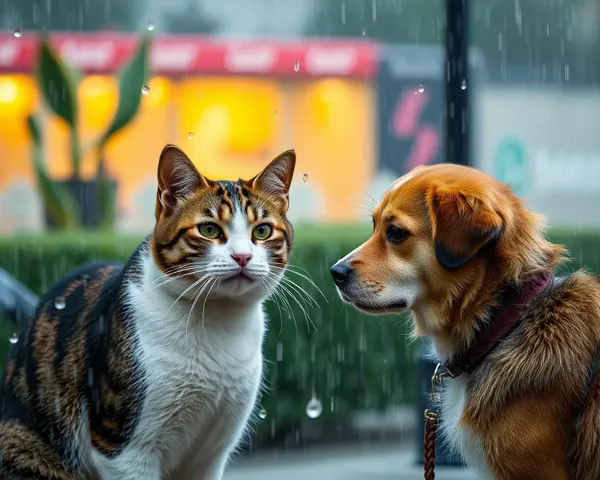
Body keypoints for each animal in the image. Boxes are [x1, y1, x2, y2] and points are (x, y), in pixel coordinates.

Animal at [0, 144, 296, 478]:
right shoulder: (123, 449)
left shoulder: (213, 452)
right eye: (209, 229)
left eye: (262, 231)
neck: (218, 320)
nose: (243, 256)